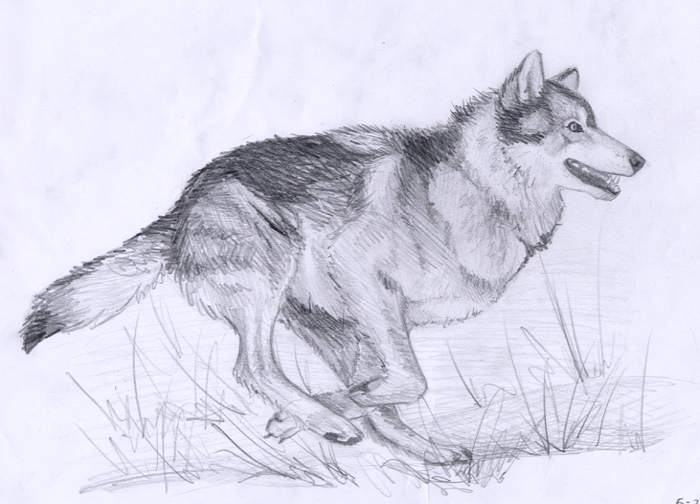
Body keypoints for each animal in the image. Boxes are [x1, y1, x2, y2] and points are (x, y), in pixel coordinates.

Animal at [21, 51, 644, 463]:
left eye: (593, 123)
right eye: (574, 128)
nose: (640, 160)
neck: (476, 187)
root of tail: (186, 200)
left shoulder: (381, 317)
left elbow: (395, 389)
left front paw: (322, 414)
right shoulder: (363, 279)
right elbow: (409, 381)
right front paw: (325, 411)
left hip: (331, 325)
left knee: (357, 400)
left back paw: (410, 444)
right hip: (272, 281)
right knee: (254, 368)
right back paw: (326, 420)